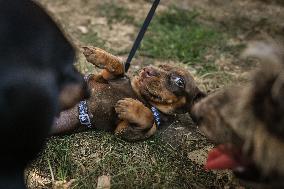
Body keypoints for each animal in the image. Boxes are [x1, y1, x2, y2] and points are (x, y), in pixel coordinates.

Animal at [52, 46, 204, 141]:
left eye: (180, 82)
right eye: (161, 66)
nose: (147, 70)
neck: (142, 96)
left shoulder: (124, 130)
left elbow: (150, 119)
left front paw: (130, 107)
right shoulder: (105, 77)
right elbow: (119, 64)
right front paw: (96, 54)